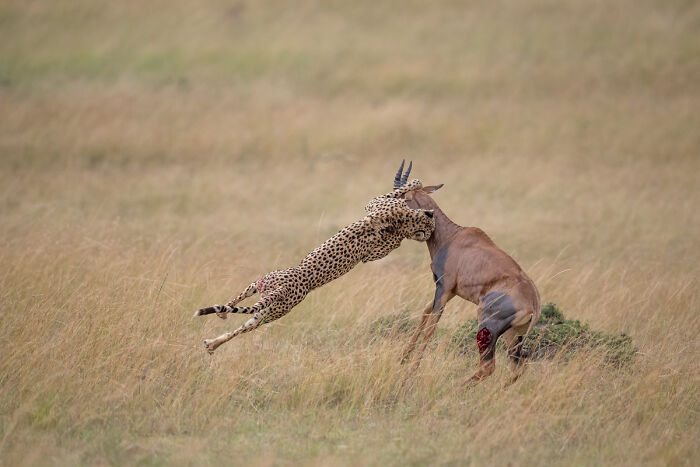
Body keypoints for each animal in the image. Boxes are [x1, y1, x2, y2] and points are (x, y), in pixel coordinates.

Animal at [194, 179, 435, 354]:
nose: (431, 230)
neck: (406, 221)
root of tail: (289, 284)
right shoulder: (377, 210)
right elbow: (407, 186)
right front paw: (419, 185)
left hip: (268, 304)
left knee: (240, 316)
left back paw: (215, 336)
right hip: (271, 302)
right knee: (240, 313)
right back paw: (217, 332)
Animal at [394, 161, 541, 384]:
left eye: (399, 199)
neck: (452, 236)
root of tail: (534, 304)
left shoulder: (444, 288)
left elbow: (431, 326)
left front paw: (410, 372)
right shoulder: (450, 291)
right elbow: (426, 311)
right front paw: (402, 358)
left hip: (488, 324)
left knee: (488, 367)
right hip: (514, 336)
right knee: (518, 369)